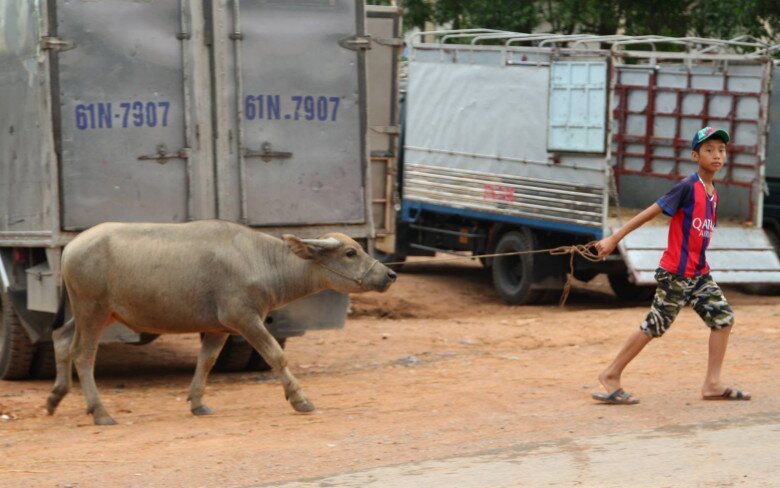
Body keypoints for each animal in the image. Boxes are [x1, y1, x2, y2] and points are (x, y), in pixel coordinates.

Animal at [45, 219, 396, 426]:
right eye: (350, 253)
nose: (390, 274)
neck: (260, 259)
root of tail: (71, 247)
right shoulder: (244, 318)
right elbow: (276, 355)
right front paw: (300, 399)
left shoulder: (217, 327)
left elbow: (206, 361)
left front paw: (197, 402)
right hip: (92, 311)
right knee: (83, 354)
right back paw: (100, 412)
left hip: (96, 313)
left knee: (60, 337)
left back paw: (55, 396)